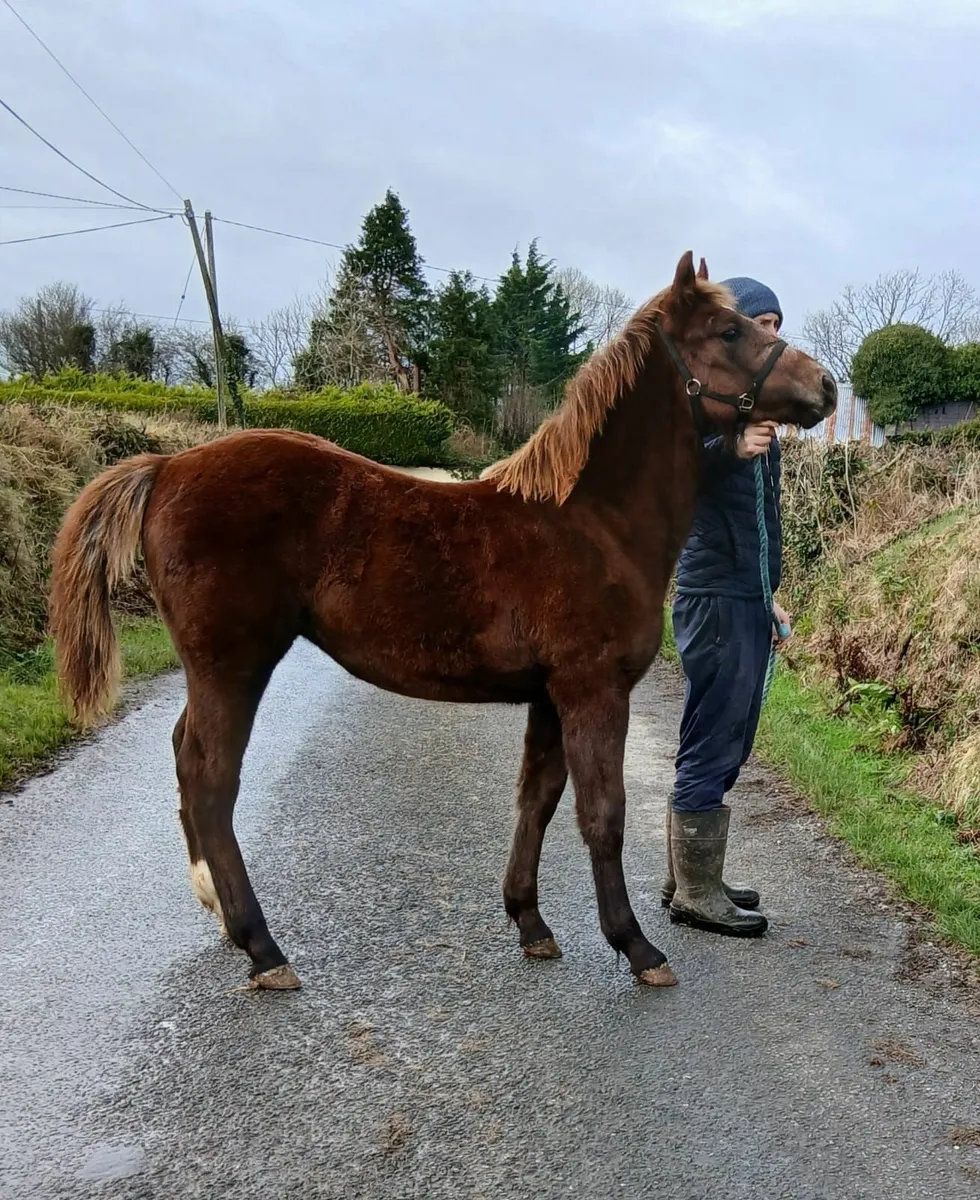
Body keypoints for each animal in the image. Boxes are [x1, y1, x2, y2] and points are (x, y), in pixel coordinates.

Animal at [49, 251, 836, 992]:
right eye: (729, 331)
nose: (825, 388)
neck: (592, 523)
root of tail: (167, 465)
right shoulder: (593, 689)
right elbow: (602, 814)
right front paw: (637, 946)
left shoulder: (549, 696)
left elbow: (537, 800)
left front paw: (531, 924)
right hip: (234, 662)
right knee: (209, 776)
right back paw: (263, 948)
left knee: (186, 759)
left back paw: (218, 909)